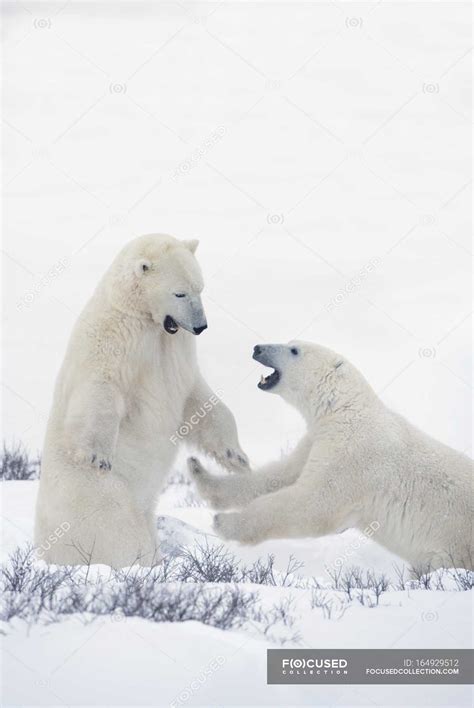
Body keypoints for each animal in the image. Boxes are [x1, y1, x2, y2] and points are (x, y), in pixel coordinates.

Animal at [33, 235, 248, 568]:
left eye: (200, 288)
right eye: (179, 292)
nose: (200, 326)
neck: (146, 321)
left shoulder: (177, 357)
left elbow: (200, 399)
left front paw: (235, 457)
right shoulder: (113, 343)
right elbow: (99, 390)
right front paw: (97, 455)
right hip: (101, 497)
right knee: (120, 529)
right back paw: (139, 561)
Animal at [190, 342, 474, 568]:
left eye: (294, 349)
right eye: (289, 342)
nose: (258, 347)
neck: (344, 410)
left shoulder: (354, 454)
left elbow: (313, 504)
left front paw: (224, 523)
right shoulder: (318, 439)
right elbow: (279, 476)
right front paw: (198, 472)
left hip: (453, 547)